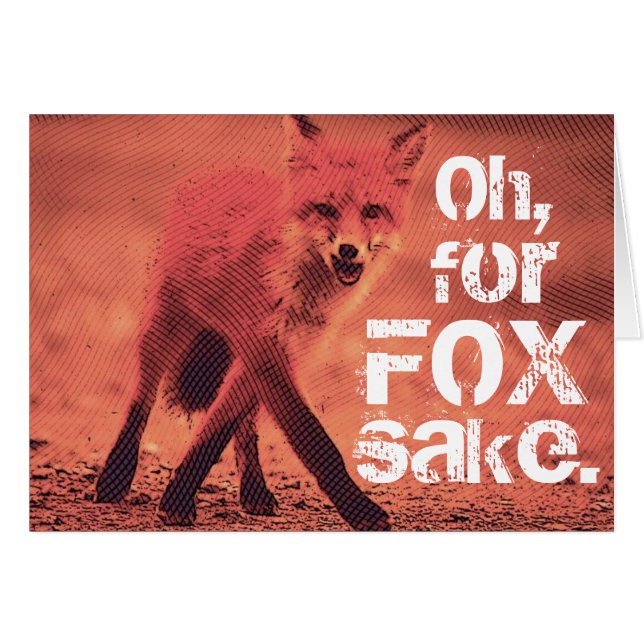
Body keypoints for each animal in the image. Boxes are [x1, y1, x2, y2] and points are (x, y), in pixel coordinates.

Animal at [95, 115, 429, 530]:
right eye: (325, 209)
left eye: (372, 211)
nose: (348, 250)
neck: (300, 287)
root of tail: (222, 169)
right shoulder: (262, 343)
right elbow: (311, 436)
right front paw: (361, 511)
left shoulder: (291, 346)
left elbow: (219, 426)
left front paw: (178, 494)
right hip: (168, 323)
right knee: (141, 400)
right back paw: (115, 476)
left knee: (244, 424)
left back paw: (254, 490)